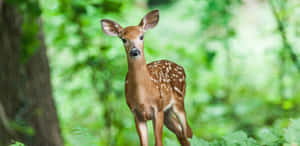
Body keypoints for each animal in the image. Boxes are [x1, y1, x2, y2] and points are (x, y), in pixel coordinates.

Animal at [101, 9, 192, 146]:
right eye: (123, 39)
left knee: (187, 132)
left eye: (141, 36)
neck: (143, 97)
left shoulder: (157, 109)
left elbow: (158, 142)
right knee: (181, 133)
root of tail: (181, 67)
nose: (134, 51)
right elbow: (143, 143)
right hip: (167, 112)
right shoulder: (136, 114)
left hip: (179, 101)